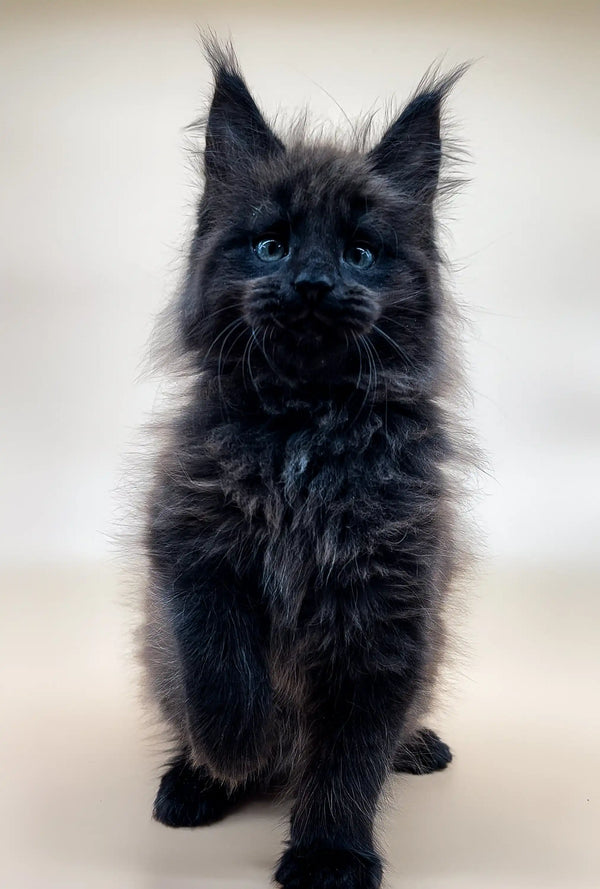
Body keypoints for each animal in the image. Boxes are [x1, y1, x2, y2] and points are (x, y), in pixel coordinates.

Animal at [142, 40, 474, 888]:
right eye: (272, 245)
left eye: (361, 253)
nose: (314, 284)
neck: (303, 432)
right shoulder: (191, 544)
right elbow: (218, 665)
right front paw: (236, 746)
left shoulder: (387, 606)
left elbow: (350, 755)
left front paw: (331, 851)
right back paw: (194, 777)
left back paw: (417, 745)